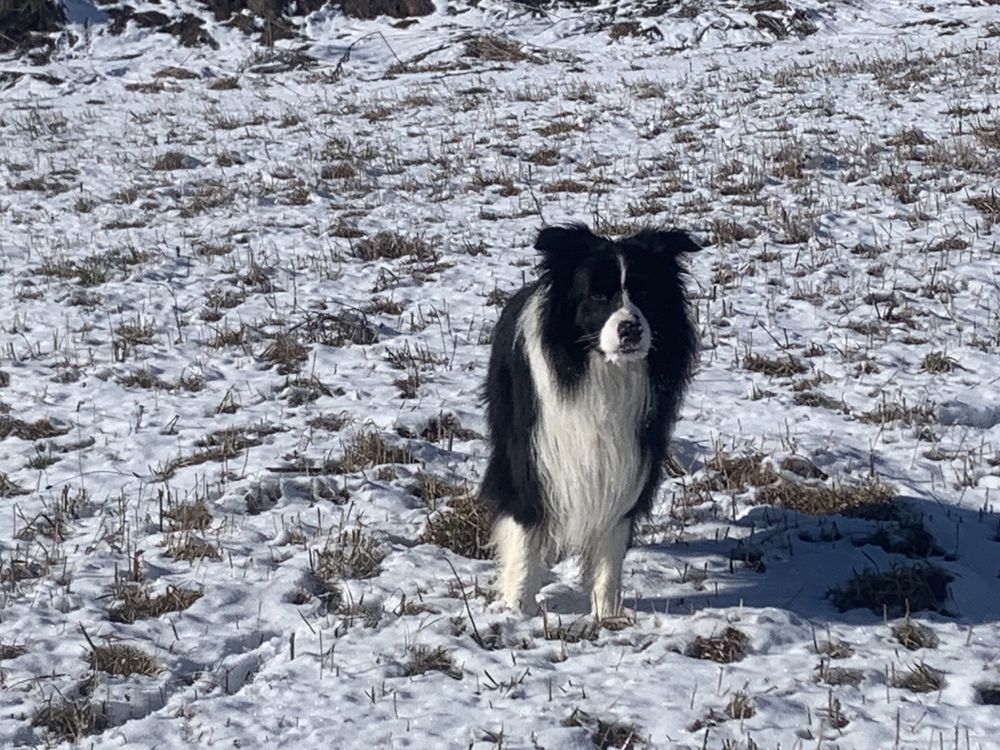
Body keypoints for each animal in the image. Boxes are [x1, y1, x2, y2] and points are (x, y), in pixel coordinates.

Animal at [480, 225, 700, 624]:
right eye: (597, 295)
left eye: (645, 291)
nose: (630, 329)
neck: (600, 373)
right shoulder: (530, 457)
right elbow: (524, 534)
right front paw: (518, 609)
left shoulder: (628, 459)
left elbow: (610, 548)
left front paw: (607, 615)